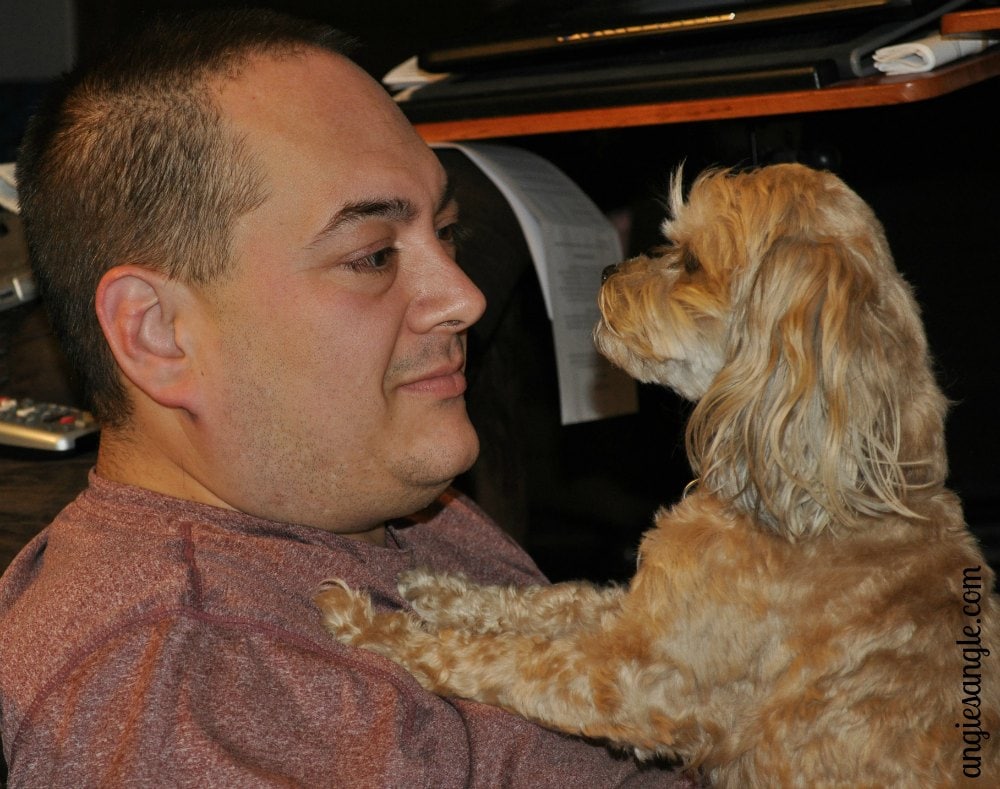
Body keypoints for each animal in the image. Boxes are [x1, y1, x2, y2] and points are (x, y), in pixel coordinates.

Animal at [318, 163, 1000, 784]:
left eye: (693, 261)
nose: (605, 272)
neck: (843, 502)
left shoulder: (636, 680)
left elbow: (499, 658)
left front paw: (373, 625)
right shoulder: (638, 615)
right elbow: (550, 598)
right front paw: (440, 591)